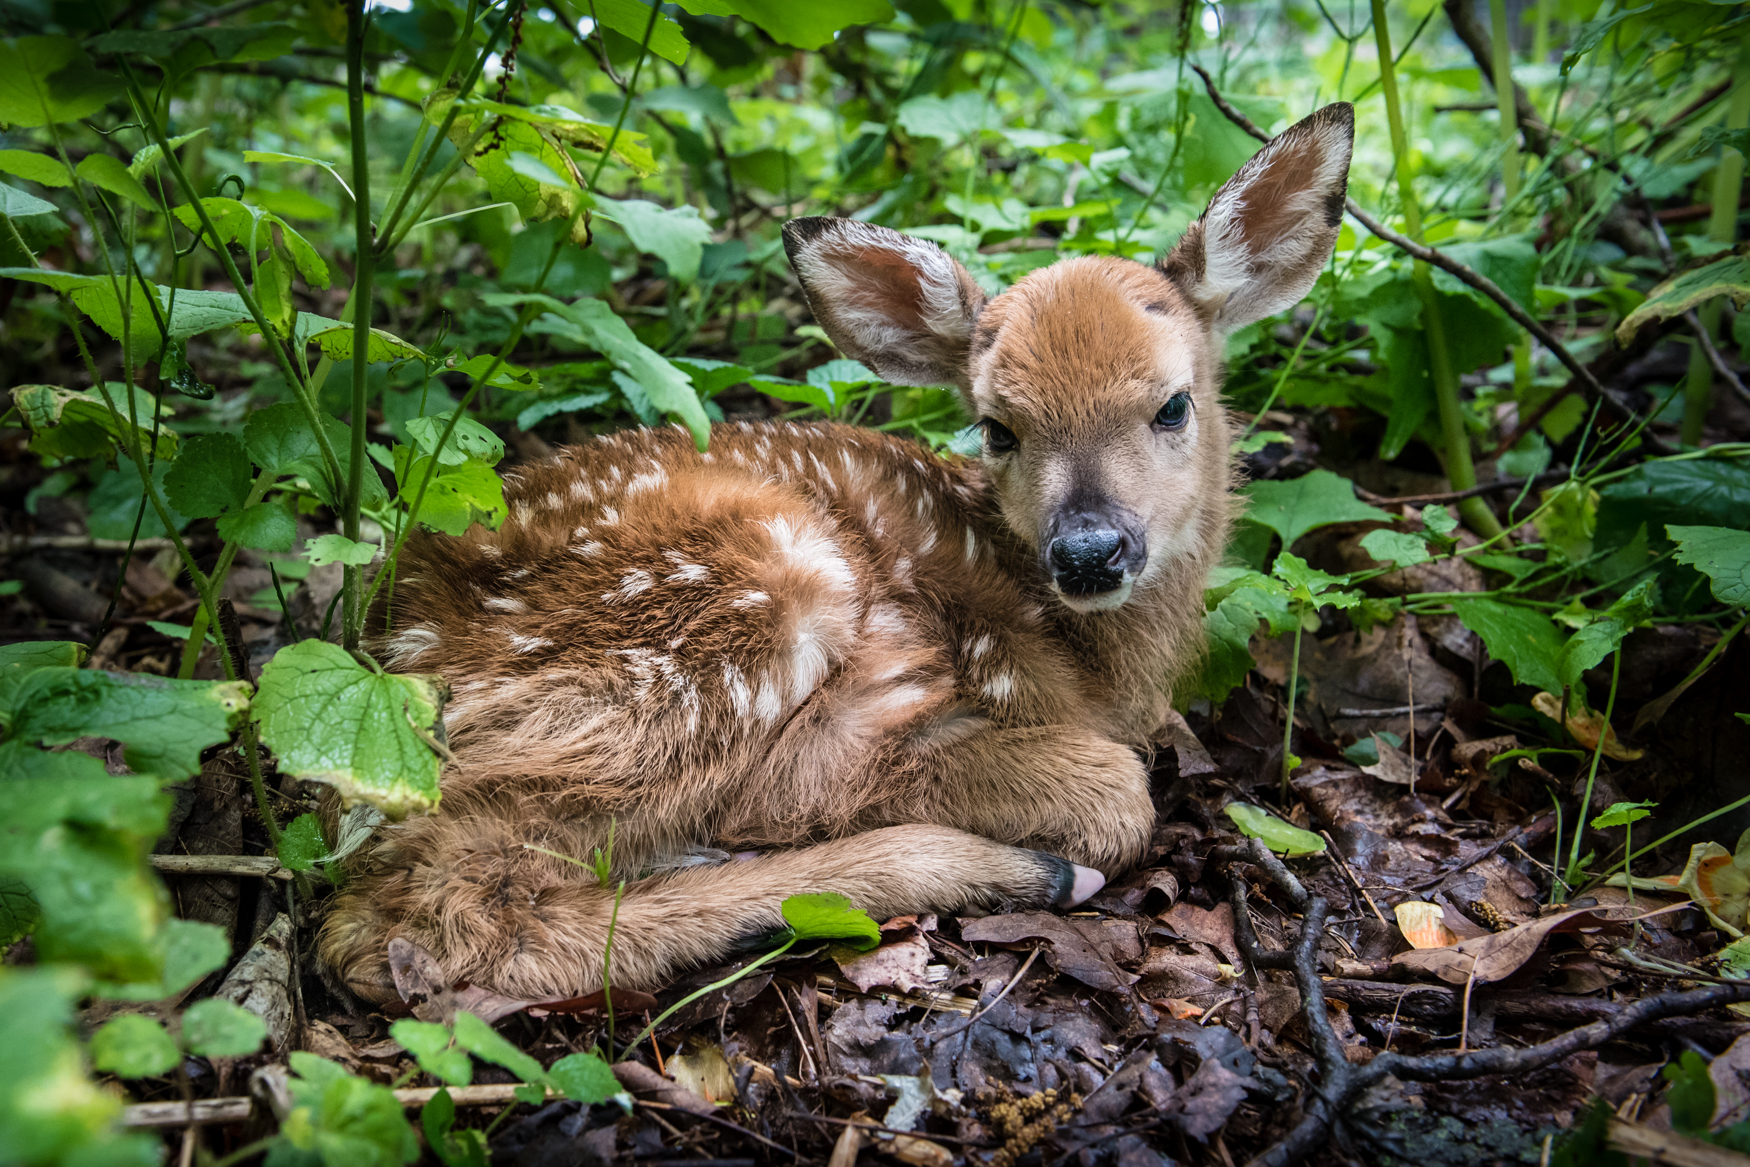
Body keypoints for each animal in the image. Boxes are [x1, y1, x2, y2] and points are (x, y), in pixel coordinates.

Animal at [318, 104, 1354, 1005]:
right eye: (998, 426)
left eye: (1173, 404)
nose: (1091, 551)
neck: (1094, 662)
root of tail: (389, 651)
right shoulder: (872, 706)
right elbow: (1106, 791)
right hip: (738, 616)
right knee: (441, 906)